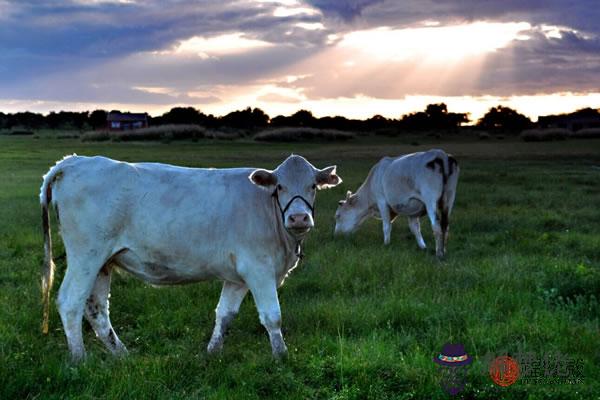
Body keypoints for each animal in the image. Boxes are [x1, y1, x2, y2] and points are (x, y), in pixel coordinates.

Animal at [39, 153, 342, 360]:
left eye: (313, 186)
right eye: (279, 187)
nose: (299, 217)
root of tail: (76, 161)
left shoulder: (237, 277)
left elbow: (224, 314)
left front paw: (212, 352)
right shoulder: (259, 269)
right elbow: (272, 316)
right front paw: (281, 356)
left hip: (103, 262)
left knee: (97, 309)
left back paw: (122, 354)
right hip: (86, 255)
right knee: (70, 302)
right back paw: (79, 359)